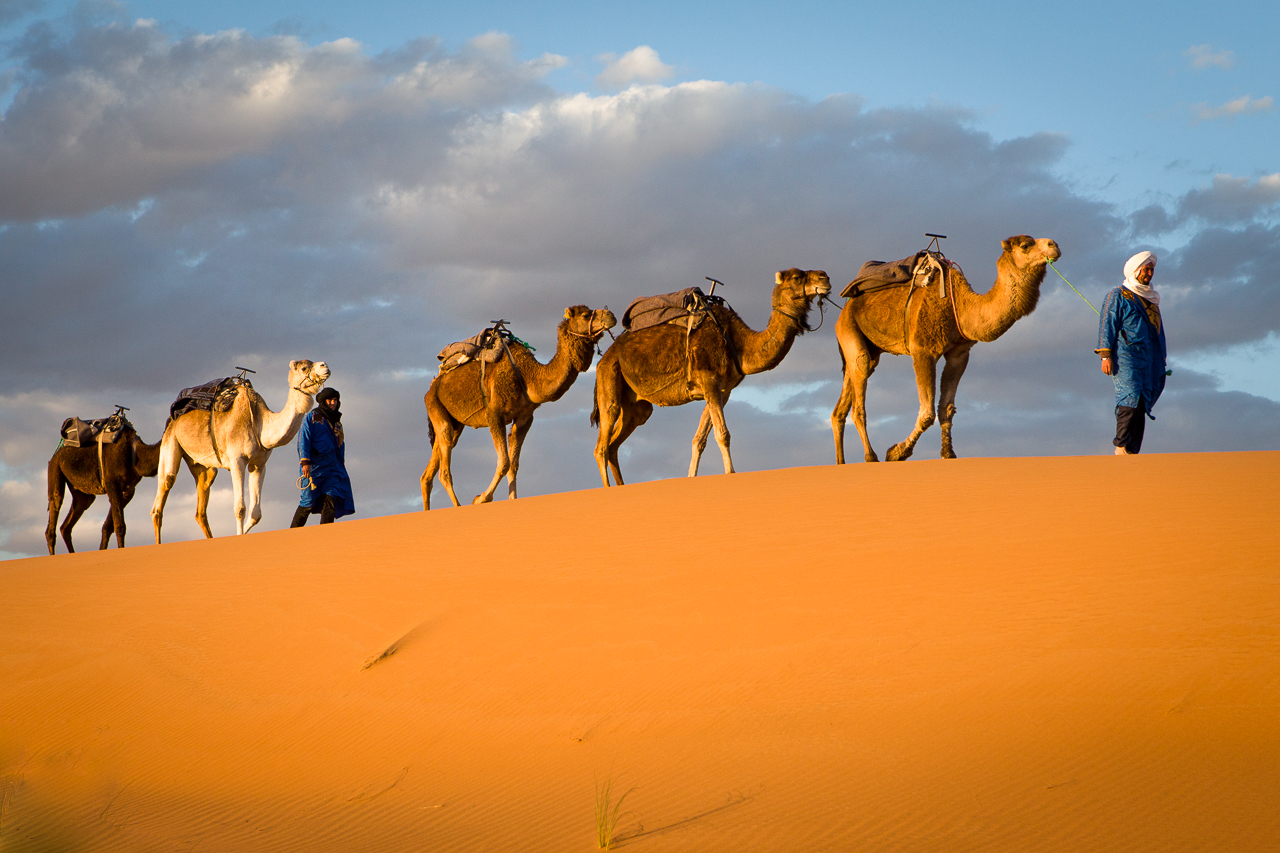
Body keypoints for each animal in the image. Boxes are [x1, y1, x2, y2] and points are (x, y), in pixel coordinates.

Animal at [46, 417, 162, 550]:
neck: (136, 453)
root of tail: (56, 454)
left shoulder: (128, 490)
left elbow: (107, 527)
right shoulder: (112, 483)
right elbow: (119, 526)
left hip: (82, 492)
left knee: (67, 524)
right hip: (55, 469)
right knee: (55, 506)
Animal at [150, 356, 332, 540]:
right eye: (303, 368)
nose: (325, 366)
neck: (260, 423)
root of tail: (172, 418)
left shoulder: (259, 464)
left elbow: (256, 513)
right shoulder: (237, 460)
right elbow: (240, 508)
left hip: (201, 463)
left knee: (201, 506)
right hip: (170, 440)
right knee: (162, 493)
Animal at [422, 303, 616, 507]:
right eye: (586, 315)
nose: (611, 315)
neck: (529, 376)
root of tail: (433, 384)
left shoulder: (524, 418)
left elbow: (513, 465)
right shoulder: (494, 414)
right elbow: (504, 462)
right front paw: (480, 498)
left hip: (455, 423)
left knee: (429, 472)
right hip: (435, 405)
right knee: (444, 469)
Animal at [593, 267, 834, 484]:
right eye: (797, 277)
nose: (825, 277)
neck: (738, 343)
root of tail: (605, 357)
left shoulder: (723, 390)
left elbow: (699, 439)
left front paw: (692, 478)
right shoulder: (709, 381)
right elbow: (722, 433)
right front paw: (731, 473)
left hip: (637, 406)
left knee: (615, 444)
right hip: (610, 377)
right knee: (602, 445)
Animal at [829, 234, 1059, 466]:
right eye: (1025, 245)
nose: (1054, 245)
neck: (962, 306)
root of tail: (845, 307)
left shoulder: (959, 354)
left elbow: (946, 408)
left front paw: (948, 453)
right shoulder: (923, 350)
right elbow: (927, 412)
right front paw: (897, 453)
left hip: (868, 347)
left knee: (843, 401)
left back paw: (841, 462)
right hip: (849, 328)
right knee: (859, 387)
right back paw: (871, 456)